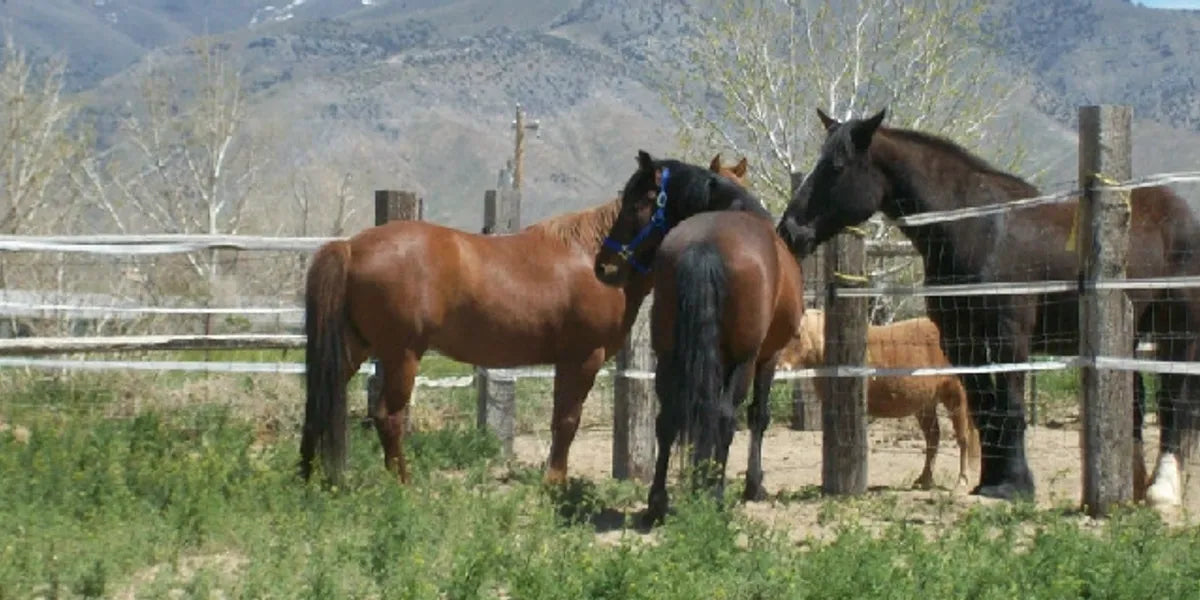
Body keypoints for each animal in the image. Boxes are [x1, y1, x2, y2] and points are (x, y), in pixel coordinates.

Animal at [300, 155, 749, 487]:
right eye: (636, 203)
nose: (606, 267)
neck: (588, 253)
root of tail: (350, 246)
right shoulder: (582, 359)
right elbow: (567, 422)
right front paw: (554, 483)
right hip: (401, 355)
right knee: (387, 416)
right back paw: (403, 484)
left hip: (354, 347)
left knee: (321, 397)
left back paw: (307, 475)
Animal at [594, 151, 805, 523]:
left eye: (637, 203)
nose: (604, 266)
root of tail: (704, 244)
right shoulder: (769, 358)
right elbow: (757, 416)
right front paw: (752, 485)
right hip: (742, 360)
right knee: (724, 417)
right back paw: (716, 496)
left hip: (668, 354)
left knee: (668, 419)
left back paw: (658, 502)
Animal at [779, 308, 981, 489]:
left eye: (797, 335)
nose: (781, 367)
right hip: (925, 406)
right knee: (933, 438)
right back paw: (924, 480)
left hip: (956, 397)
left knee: (963, 438)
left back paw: (962, 480)